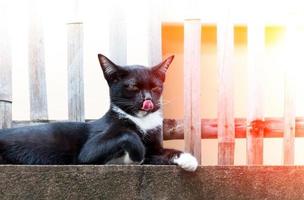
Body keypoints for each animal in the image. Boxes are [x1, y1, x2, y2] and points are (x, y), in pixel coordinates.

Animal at [0, 54, 197, 171]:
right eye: (133, 86)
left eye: (156, 87)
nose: (148, 100)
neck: (140, 120)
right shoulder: (90, 150)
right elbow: (127, 138)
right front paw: (137, 153)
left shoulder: (154, 144)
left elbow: (160, 152)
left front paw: (188, 159)